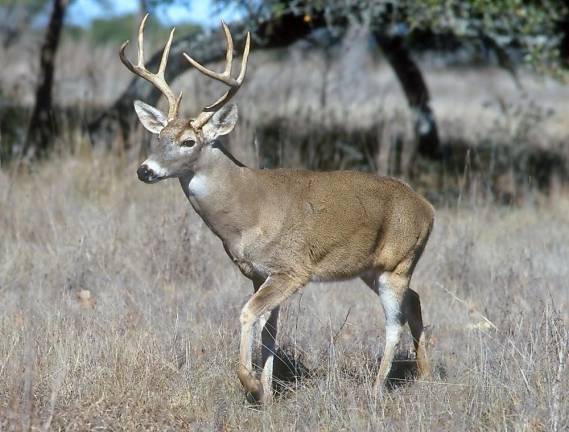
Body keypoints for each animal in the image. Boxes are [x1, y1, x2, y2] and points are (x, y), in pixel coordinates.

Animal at [122, 15, 434, 404]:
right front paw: (269, 394)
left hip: (398, 262)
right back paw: (425, 375)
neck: (246, 212)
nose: (144, 170)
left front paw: (252, 384)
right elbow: (269, 331)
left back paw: (377, 389)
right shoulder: (258, 273)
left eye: (188, 141)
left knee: (395, 321)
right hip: (373, 268)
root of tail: (428, 209)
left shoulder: (292, 268)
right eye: (158, 137)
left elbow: (248, 315)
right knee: (415, 301)